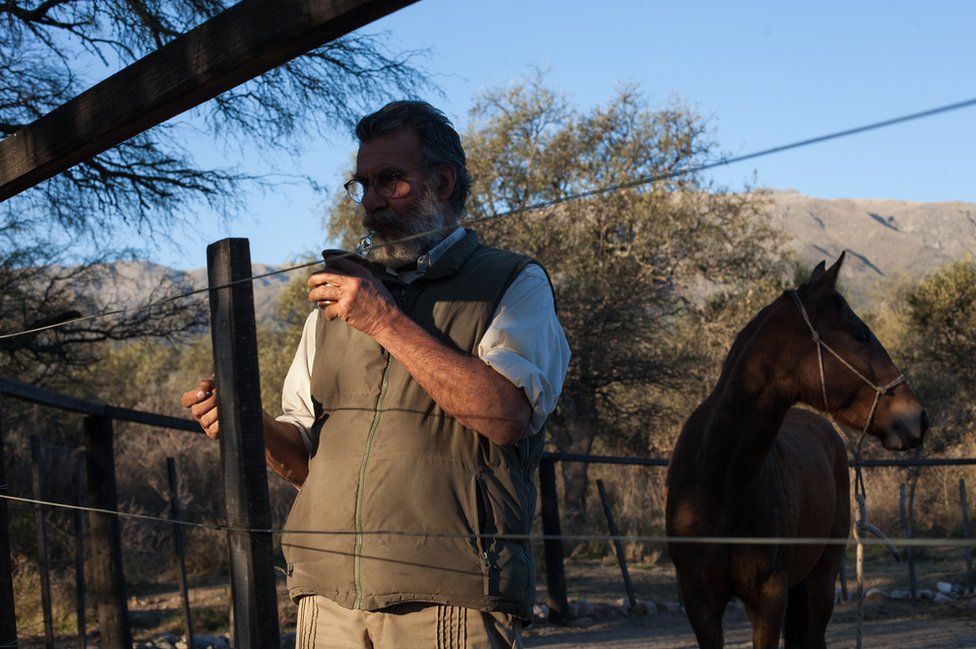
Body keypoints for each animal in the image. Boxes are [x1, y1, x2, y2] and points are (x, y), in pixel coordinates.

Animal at [668, 254, 928, 648]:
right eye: (861, 335)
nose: (918, 417)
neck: (720, 480)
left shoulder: (769, 596)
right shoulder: (699, 602)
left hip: (821, 576)